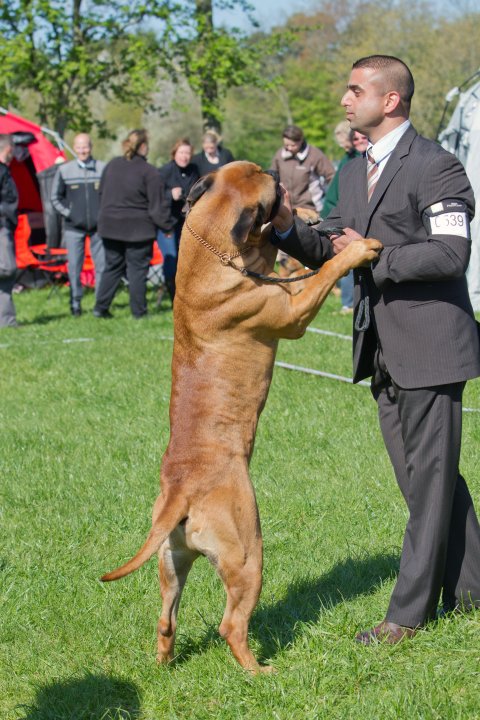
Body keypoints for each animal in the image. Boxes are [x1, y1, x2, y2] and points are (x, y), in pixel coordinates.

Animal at [101, 161, 382, 673]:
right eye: (275, 188)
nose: (280, 175)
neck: (211, 246)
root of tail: (181, 493)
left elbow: (279, 251)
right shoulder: (293, 309)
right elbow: (324, 270)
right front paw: (354, 248)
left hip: (172, 562)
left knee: (166, 619)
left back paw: (166, 661)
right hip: (248, 554)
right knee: (231, 624)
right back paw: (260, 671)